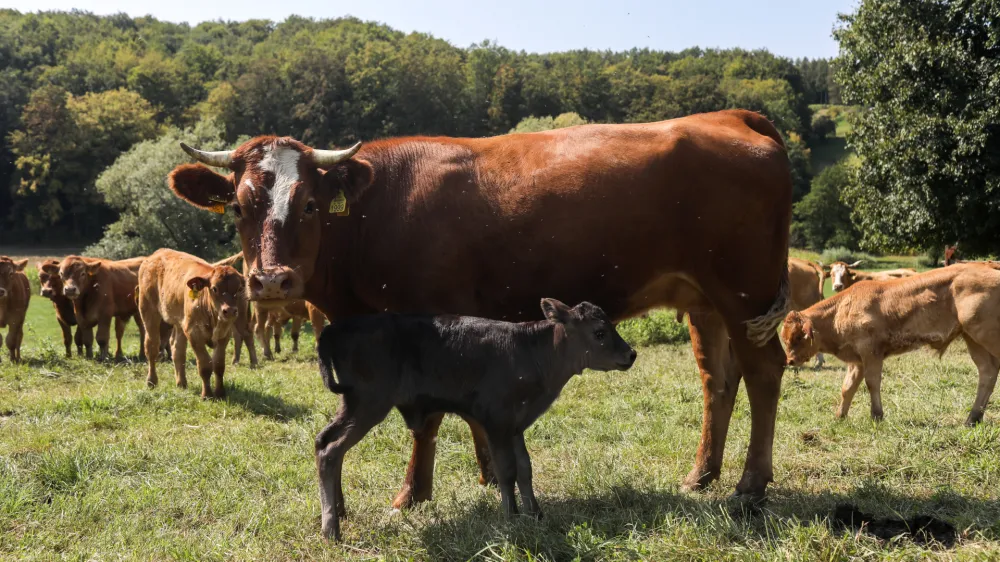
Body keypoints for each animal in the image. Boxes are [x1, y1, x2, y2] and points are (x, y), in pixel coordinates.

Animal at [138, 247, 247, 396]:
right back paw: (151, 381)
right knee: (152, 347)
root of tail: (157, 253)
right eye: (214, 288)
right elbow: (205, 365)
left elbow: (219, 365)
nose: (229, 311)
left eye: (239, 288)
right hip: (149, 312)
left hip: (180, 322)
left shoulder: (224, 334)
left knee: (177, 350)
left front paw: (220, 393)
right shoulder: (194, 333)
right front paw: (207, 394)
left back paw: (181, 383)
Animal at [170, 108, 796, 498]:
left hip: (744, 291)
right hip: (704, 300)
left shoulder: (423, 322)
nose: (271, 281)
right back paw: (701, 475)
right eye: (238, 207)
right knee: (718, 380)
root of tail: (726, 116)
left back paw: (750, 483)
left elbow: (426, 420)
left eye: (308, 205)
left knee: (765, 371)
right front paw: (490, 474)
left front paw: (412, 494)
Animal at [316, 298, 636, 540]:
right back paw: (331, 529)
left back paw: (340, 513)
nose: (631, 354)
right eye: (599, 332)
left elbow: (525, 468)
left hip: (354, 405)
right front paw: (511, 517)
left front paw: (535, 514)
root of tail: (335, 329)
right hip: (367, 403)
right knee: (330, 449)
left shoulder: (516, 423)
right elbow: (506, 470)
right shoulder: (496, 420)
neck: (531, 352)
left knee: (324, 442)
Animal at [784, 262, 1000, 424]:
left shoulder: (871, 352)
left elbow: (872, 383)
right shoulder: (857, 359)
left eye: (798, 337)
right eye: (785, 338)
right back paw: (972, 418)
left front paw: (877, 415)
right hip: (972, 338)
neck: (841, 309)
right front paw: (840, 416)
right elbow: (848, 387)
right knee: (987, 372)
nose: (790, 361)